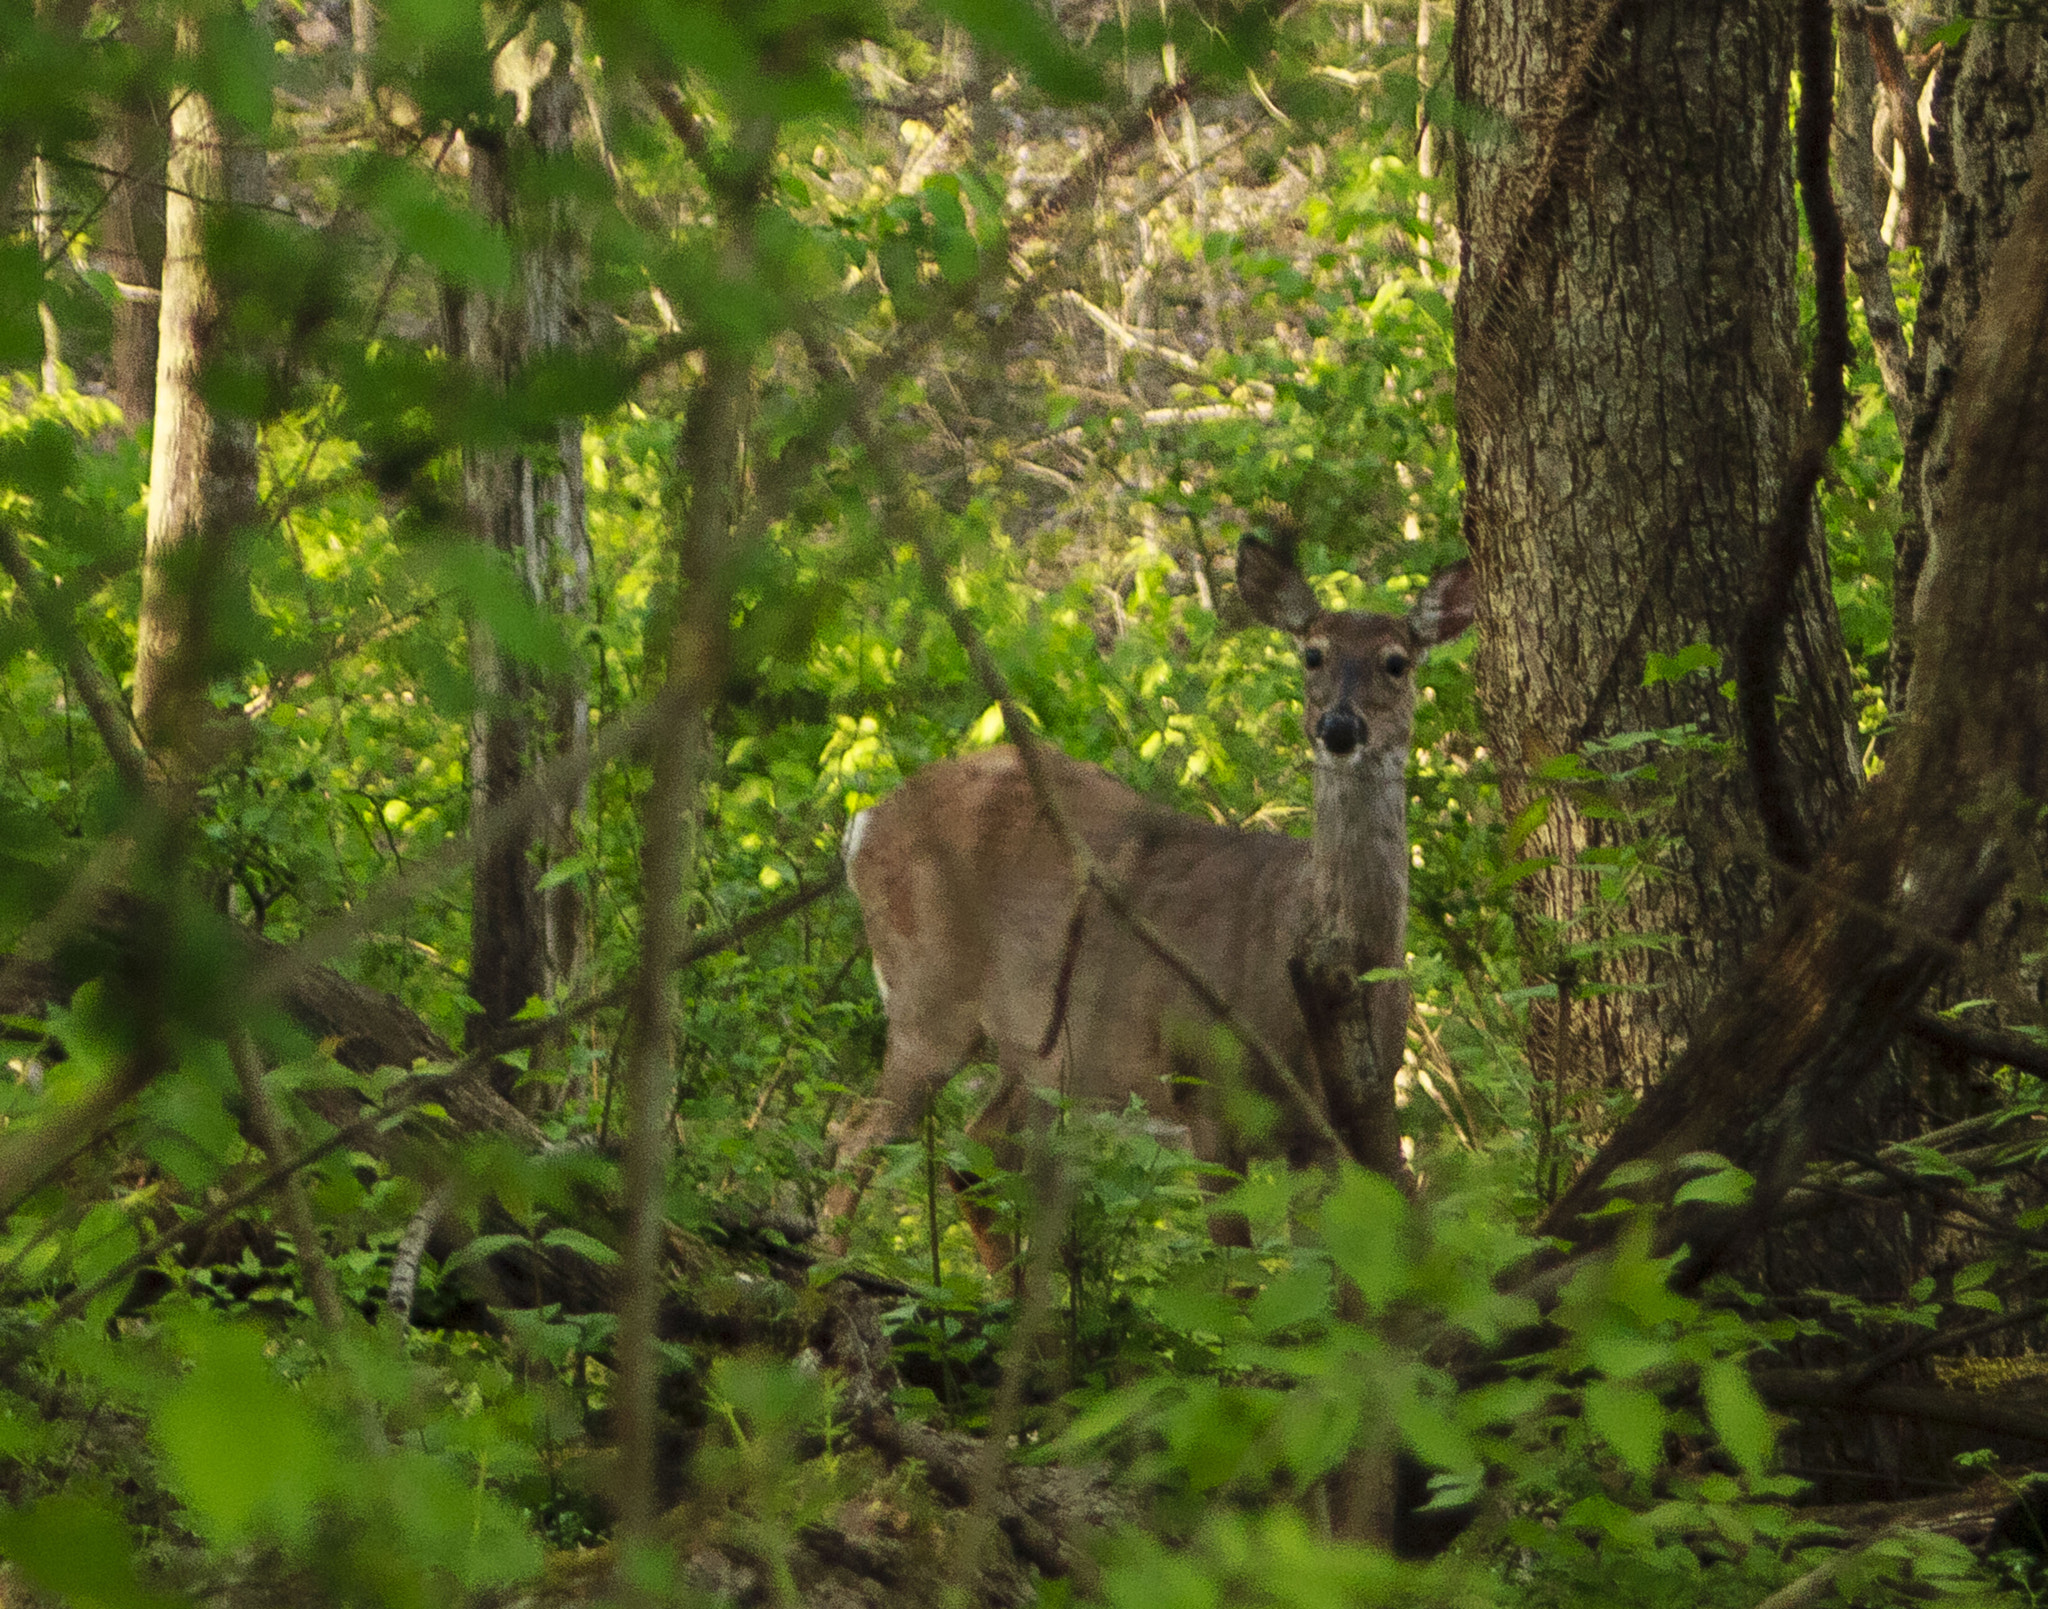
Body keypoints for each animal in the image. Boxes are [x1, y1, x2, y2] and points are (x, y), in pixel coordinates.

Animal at [820, 537, 1476, 1258]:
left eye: (1396, 661)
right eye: (1313, 653)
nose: (1338, 726)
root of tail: (864, 822)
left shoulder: (1329, 1131)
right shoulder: (1203, 1090)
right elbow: (1238, 1270)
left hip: (1033, 1047)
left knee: (973, 1152)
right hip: (926, 995)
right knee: (855, 1145)